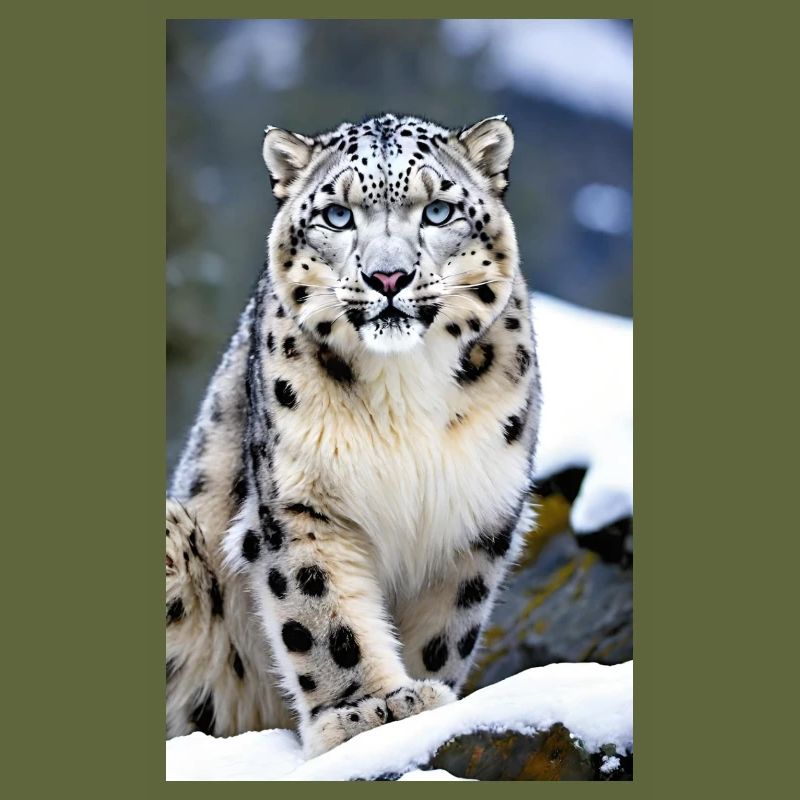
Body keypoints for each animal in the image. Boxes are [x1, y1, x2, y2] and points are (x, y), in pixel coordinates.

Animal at [166, 113, 541, 758]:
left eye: (438, 210)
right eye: (337, 216)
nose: (388, 276)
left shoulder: (473, 510)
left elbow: (445, 628)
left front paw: (419, 698)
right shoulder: (300, 500)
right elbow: (322, 612)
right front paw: (369, 711)